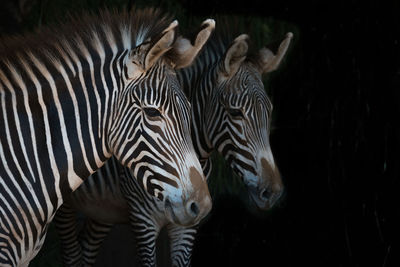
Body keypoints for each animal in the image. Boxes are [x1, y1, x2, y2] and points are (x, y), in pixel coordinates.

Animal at [56, 21, 292, 267]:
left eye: (270, 111)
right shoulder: (143, 220)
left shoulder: (187, 225)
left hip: (103, 208)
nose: (273, 193)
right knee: (72, 252)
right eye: (236, 113)